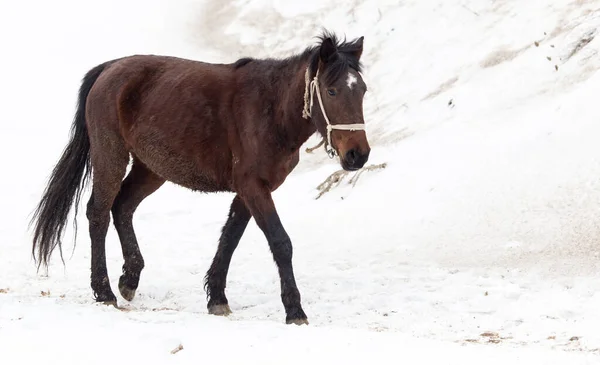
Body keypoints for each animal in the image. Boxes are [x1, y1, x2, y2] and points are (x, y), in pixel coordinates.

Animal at [32, 29, 372, 322]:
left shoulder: (248, 191)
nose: (358, 154)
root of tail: (109, 68)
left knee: (123, 207)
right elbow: (280, 242)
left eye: (363, 90)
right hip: (110, 155)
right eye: (331, 90)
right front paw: (294, 310)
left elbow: (230, 239)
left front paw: (217, 298)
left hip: (151, 168)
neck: (270, 109)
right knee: (99, 213)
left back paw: (129, 278)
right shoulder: (253, 187)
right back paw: (103, 291)